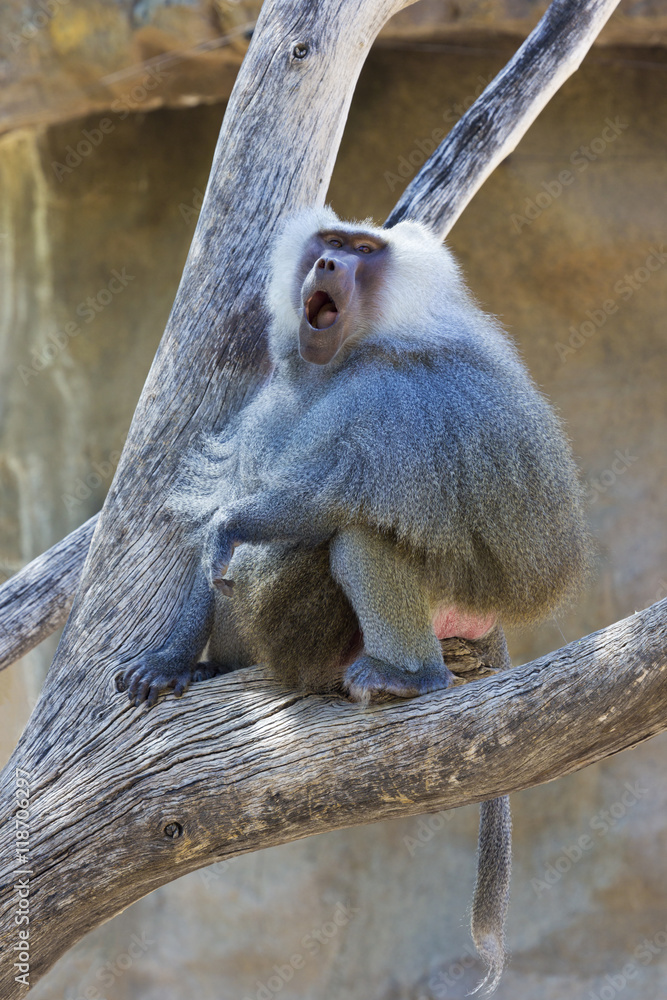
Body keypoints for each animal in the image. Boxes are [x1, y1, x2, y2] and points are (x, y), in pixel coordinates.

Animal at [116, 206, 590, 993]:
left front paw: (233, 528)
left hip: (434, 600)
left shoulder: (393, 398)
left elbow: (314, 502)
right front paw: (169, 662)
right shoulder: (266, 408)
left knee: (356, 539)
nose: (330, 266)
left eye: (364, 251)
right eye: (331, 243)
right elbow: (211, 530)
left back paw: (405, 677)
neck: (333, 368)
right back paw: (224, 669)